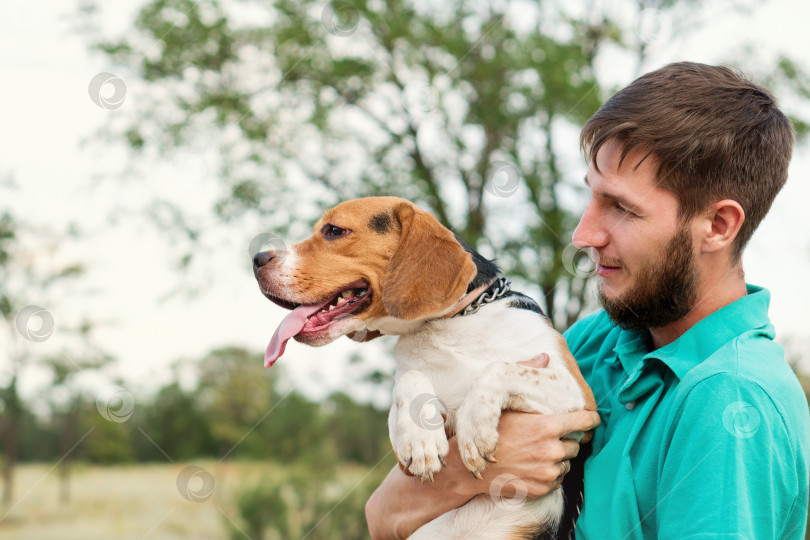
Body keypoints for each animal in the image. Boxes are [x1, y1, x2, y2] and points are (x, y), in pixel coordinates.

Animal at [251, 197, 592, 540]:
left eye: (334, 230)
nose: (256, 258)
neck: (452, 323)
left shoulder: (580, 399)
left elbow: (498, 368)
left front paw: (474, 426)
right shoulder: (401, 446)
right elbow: (409, 380)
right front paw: (421, 439)